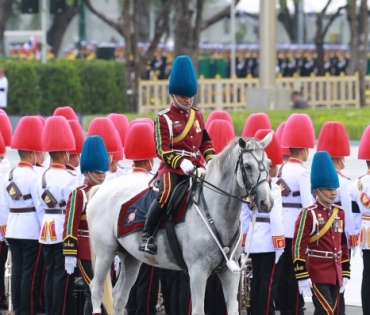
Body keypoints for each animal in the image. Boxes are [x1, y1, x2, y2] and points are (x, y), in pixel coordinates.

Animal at [86, 134, 272, 315]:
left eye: (269, 164)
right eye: (247, 166)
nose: (266, 202)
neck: (215, 212)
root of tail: (101, 188)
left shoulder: (229, 273)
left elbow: (233, 309)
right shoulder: (197, 271)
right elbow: (198, 310)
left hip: (131, 258)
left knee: (119, 297)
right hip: (105, 253)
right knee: (96, 289)